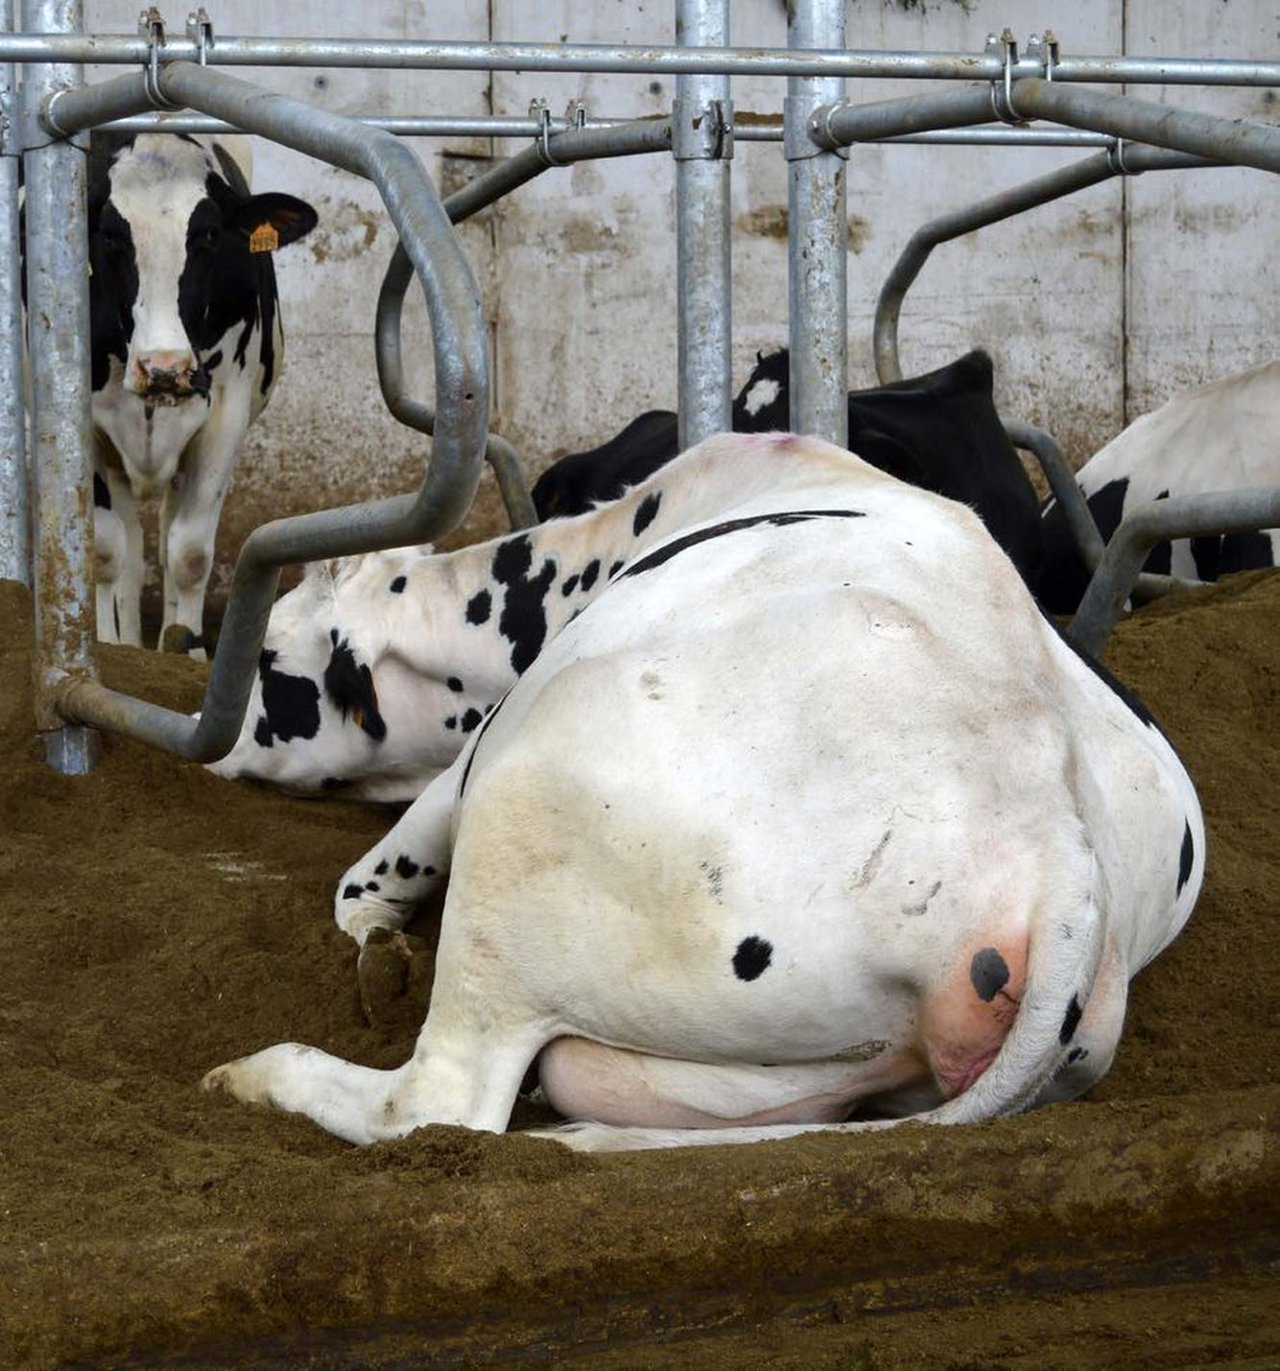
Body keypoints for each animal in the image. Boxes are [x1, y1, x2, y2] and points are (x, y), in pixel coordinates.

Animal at [86, 130, 317, 653]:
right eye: (110, 235)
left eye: (209, 235)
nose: (164, 368)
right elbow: (106, 550)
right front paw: (107, 649)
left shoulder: (224, 414)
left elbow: (189, 554)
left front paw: (184, 646)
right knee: (130, 551)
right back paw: (127, 643)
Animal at [201, 431, 1204, 1153]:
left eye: (269, 657)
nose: (212, 748)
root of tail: (1059, 844)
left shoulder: (483, 747)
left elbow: (369, 874)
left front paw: (378, 943)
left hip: (528, 808)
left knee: (435, 1101)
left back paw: (258, 1074)